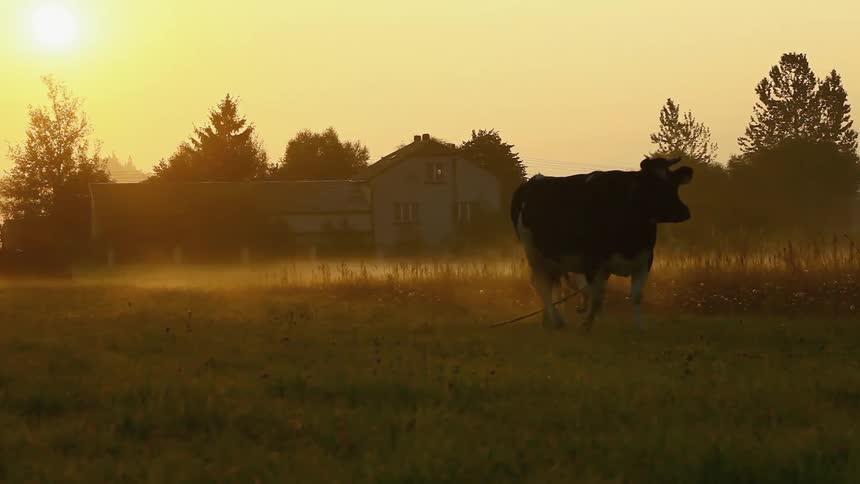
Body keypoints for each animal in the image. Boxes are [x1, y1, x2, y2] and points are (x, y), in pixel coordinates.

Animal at [510, 157, 693, 331]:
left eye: (674, 183)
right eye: (652, 185)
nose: (684, 212)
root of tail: (535, 179)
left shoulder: (644, 259)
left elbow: (635, 295)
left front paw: (640, 326)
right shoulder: (593, 261)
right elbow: (596, 296)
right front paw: (586, 325)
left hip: (554, 260)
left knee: (556, 285)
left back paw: (552, 320)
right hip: (533, 253)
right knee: (543, 286)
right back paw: (557, 321)